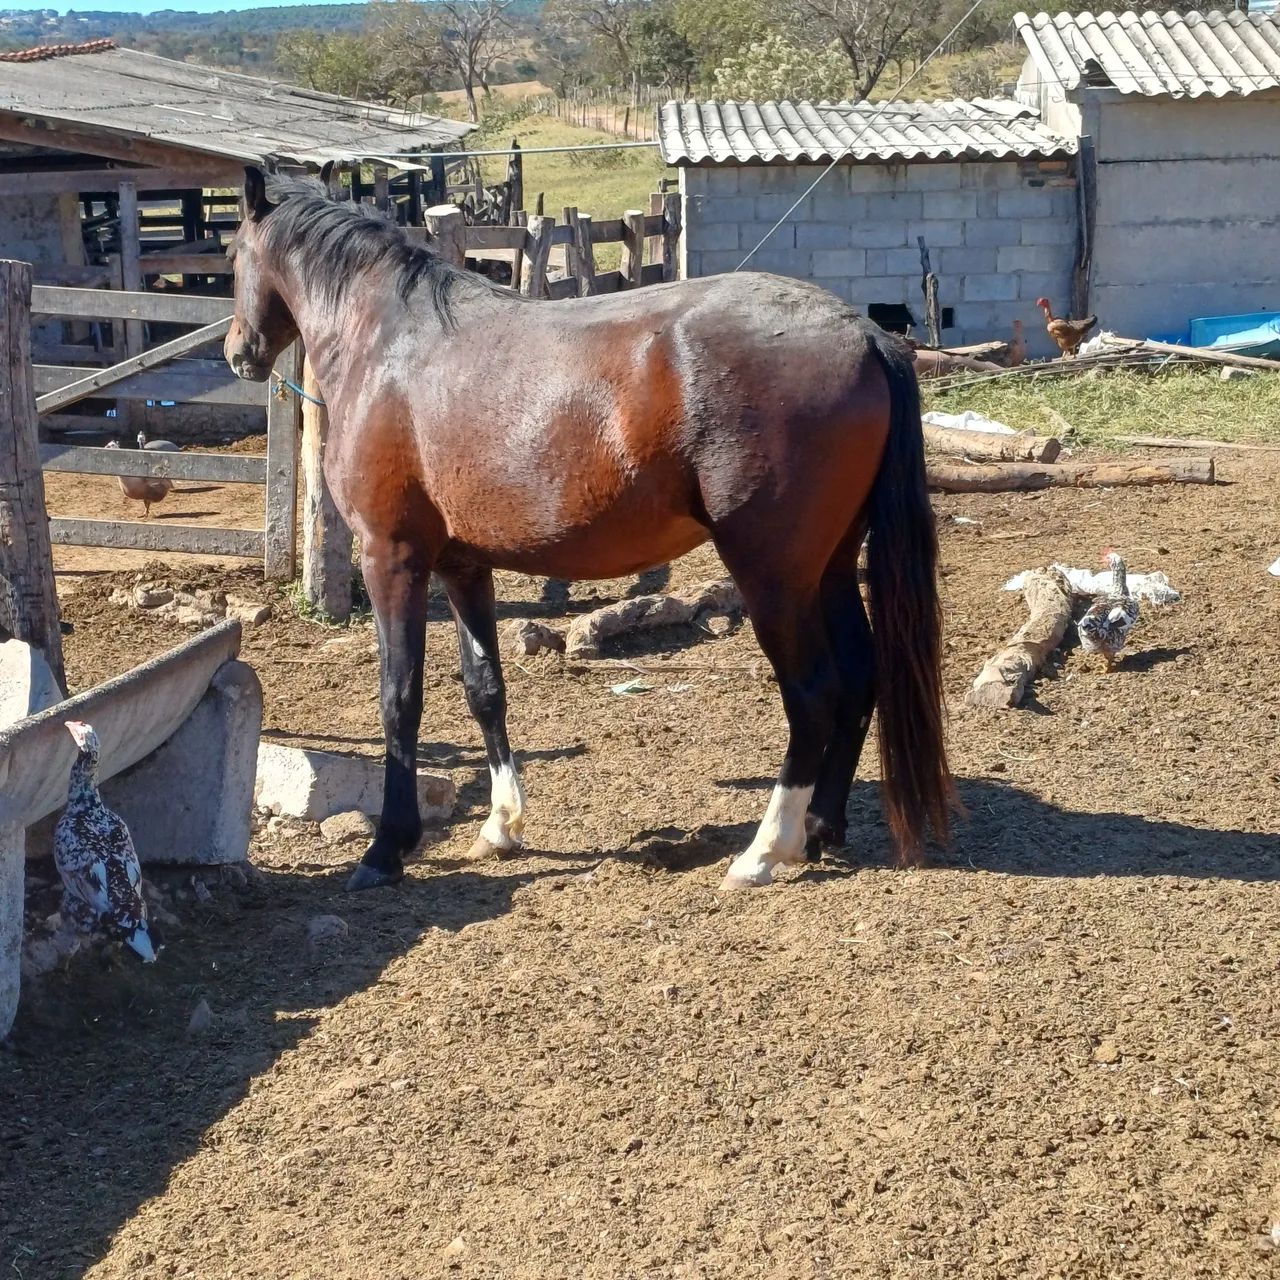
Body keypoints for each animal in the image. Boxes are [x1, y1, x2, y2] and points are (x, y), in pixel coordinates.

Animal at [224, 167, 955, 892]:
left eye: (232, 256)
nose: (238, 352)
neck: (388, 343)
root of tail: (864, 335)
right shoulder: (463, 564)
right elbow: (484, 688)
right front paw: (502, 826)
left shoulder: (391, 558)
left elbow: (398, 699)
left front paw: (386, 849)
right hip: (828, 567)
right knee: (860, 675)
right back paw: (821, 826)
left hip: (772, 578)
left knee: (813, 695)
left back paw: (764, 852)